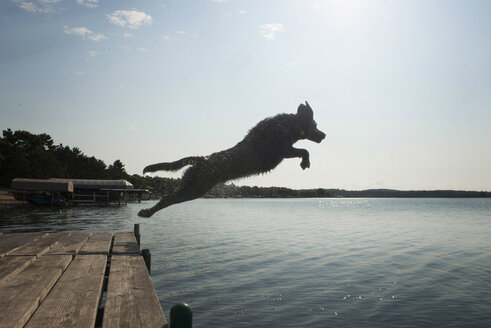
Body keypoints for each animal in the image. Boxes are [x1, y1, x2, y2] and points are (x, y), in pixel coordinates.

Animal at [137, 100, 326, 218]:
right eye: (315, 124)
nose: (324, 135)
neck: (288, 126)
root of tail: (201, 159)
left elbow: (303, 149)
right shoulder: (281, 150)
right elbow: (304, 150)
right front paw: (305, 162)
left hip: (191, 185)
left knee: (168, 197)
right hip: (195, 189)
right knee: (166, 199)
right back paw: (146, 212)